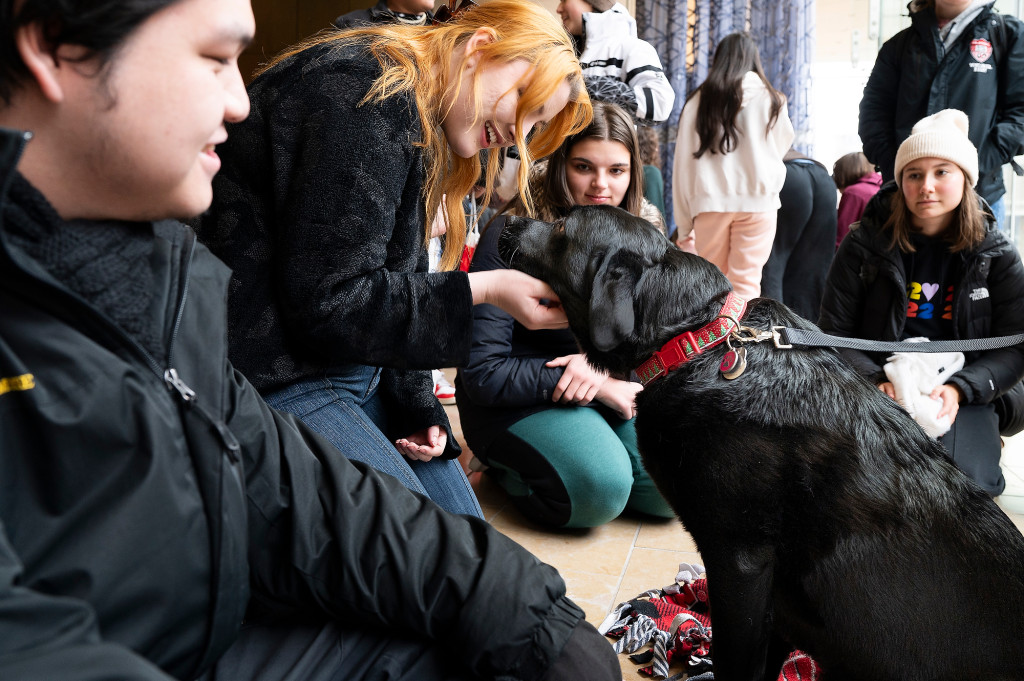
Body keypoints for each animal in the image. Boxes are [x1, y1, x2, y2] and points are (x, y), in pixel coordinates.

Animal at [499, 204, 1024, 675]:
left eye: (562, 227)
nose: (504, 220)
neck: (698, 339)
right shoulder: (777, 606)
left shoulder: (740, 566)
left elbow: (735, 661)